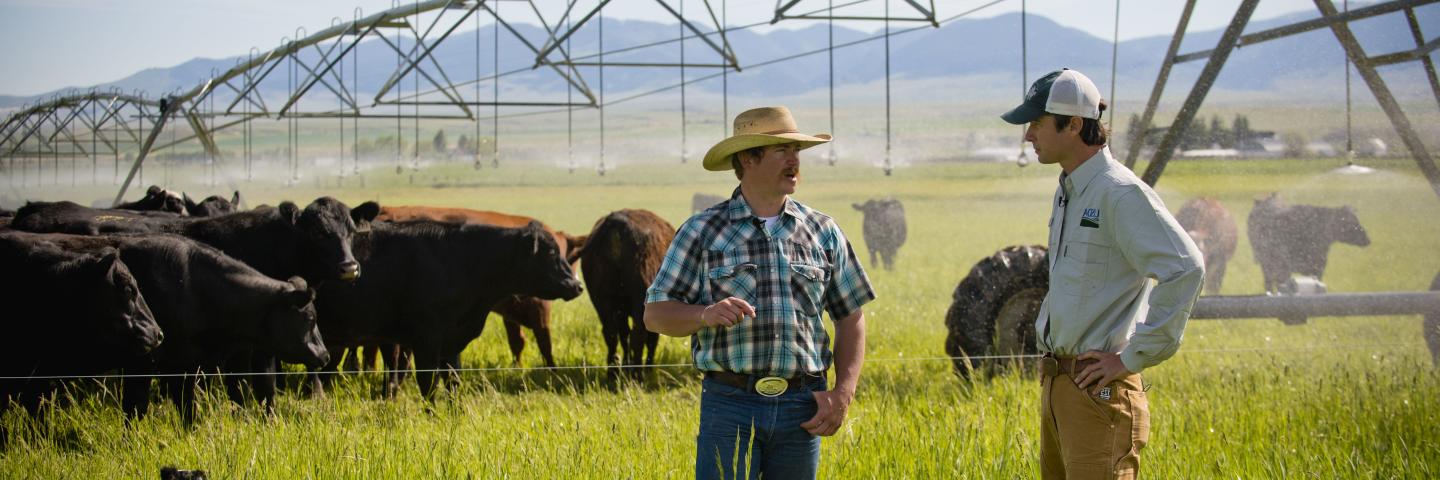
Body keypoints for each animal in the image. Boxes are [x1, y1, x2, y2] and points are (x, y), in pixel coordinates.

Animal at [318, 214, 581, 397]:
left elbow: (453, 380)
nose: (577, 285)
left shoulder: (450, 341)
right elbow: (428, 383)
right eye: (550, 253)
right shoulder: (426, 339)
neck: (460, 261)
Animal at [578, 209, 673, 377]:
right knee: (638, 335)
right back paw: (637, 374)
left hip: (602, 301)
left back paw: (613, 371)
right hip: (639, 301)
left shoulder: (619, 311)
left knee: (611, 333)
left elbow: (623, 334)